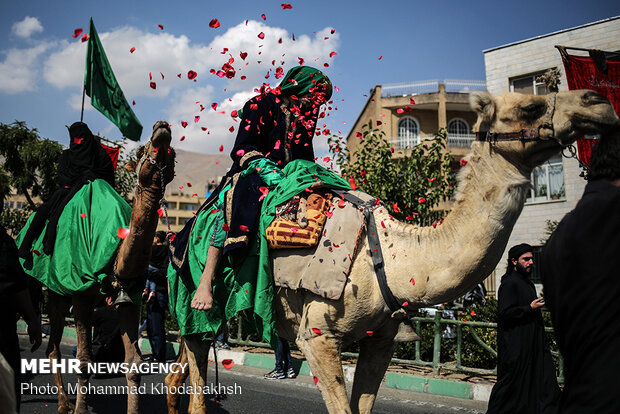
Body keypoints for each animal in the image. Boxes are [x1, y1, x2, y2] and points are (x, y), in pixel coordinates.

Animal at [44, 120, 176, 414]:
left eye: (172, 154)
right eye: (139, 151)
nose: (162, 126)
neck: (114, 256)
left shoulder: (131, 297)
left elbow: (134, 365)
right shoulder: (81, 294)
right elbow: (83, 360)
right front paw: (80, 410)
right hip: (56, 291)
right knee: (54, 347)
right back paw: (64, 404)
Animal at [163, 88, 616, 414]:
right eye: (531, 105)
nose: (599, 102)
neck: (394, 258)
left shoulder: (381, 339)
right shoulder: (316, 334)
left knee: (178, 375)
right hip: (191, 303)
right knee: (197, 375)